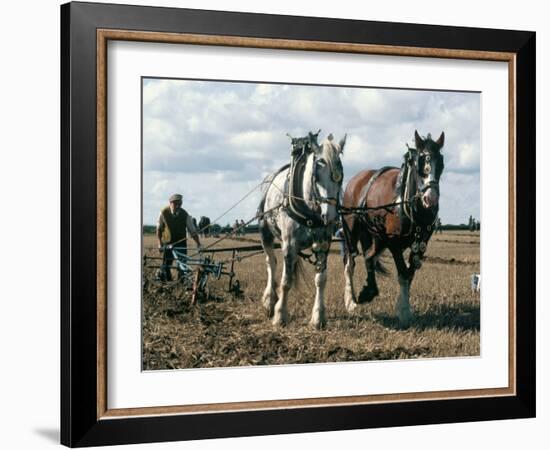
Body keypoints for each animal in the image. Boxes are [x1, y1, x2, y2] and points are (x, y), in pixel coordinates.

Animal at [260, 130, 348, 326]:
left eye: (341, 176)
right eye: (317, 175)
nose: (330, 217)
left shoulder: (323, 243)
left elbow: (321, 279)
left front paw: (318, 317)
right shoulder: (289, 243)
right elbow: (286, 281)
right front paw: (280, 315)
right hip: (266, 232)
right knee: (271, 262)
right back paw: (270, 300)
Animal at [342, 130, 446, 326]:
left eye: (441, 163)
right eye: (420, 162)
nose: (431, 198)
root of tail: (357, 179)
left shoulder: (420, 244)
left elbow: (410, 274)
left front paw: (402, 307)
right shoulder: (394, 243)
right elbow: (403, 274)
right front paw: (404, 311)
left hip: (376, 236)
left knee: (369, 257)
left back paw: (369, 291)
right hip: (352, 231)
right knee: (350, 263)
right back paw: (350, 301)